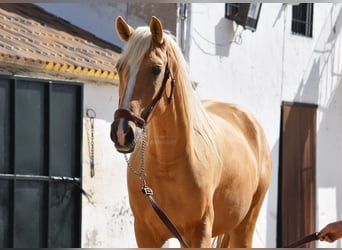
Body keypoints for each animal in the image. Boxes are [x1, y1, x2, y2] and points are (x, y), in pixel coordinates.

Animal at [110, 16, 272, 248]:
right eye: (119, 67)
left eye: (156, 69)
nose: (122, 132)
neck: (167, 164)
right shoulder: (145, 234)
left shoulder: (199, 232)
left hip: (244, 226)